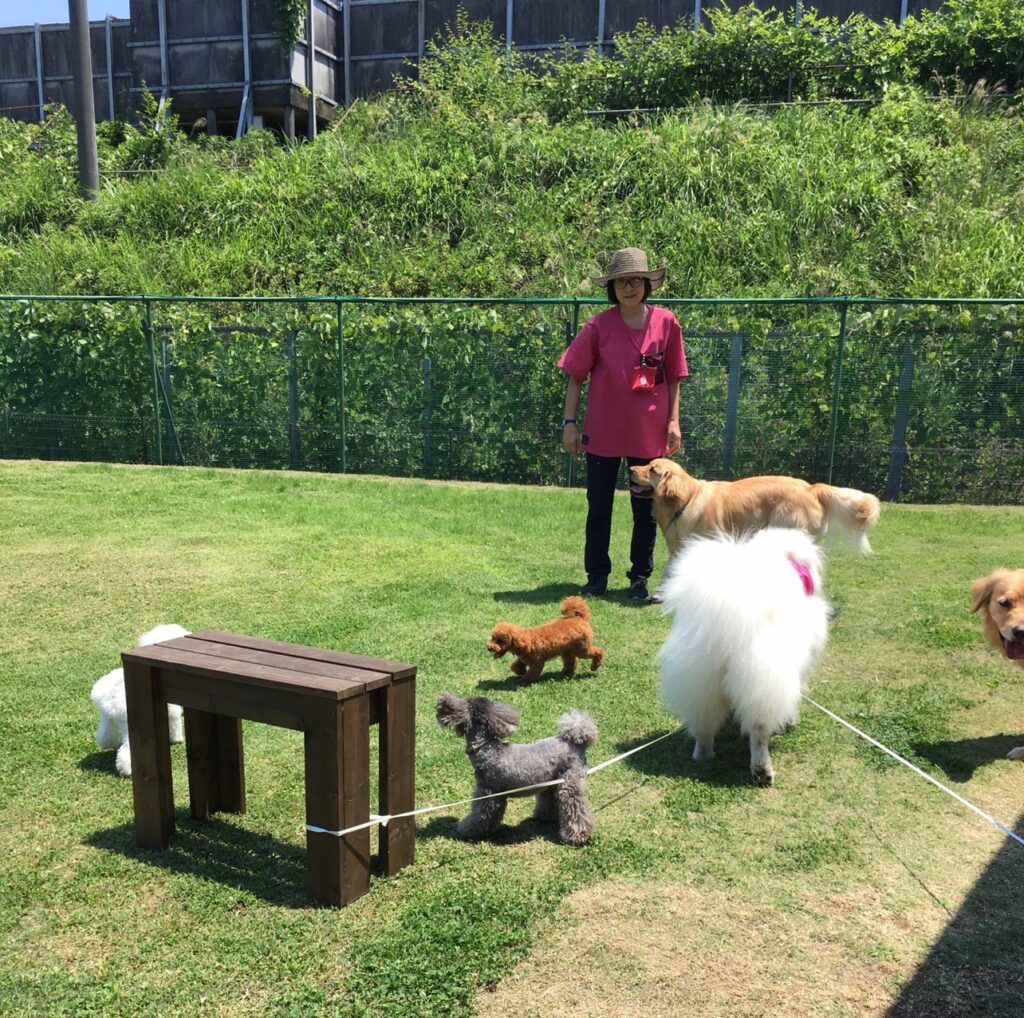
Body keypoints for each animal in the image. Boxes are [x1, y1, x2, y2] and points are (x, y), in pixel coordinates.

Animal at [91, 623, 190, 776]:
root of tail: (112, 699)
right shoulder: (171, 709)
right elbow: (174, 724)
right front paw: (176, 739)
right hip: (133, 724)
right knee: (127, 750)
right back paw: (126, 770)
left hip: (107, 718)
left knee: (105, 736)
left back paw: (111, 745)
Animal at [436, 693, 597, 845]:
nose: (440, 704)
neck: (487, 749)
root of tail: (577, 741)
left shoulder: (490, 794)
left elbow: (480, 815)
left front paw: (467, 830)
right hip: (552, 782)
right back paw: (544, 818)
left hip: (569, 782)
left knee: (575, 807)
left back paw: (577, 836)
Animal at [658, 527, 830, 786]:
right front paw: (791, 720)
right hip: (762, 683)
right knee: (758, 734)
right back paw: (762, 772)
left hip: (699, 681)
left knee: (703, 724)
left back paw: (703, 755)